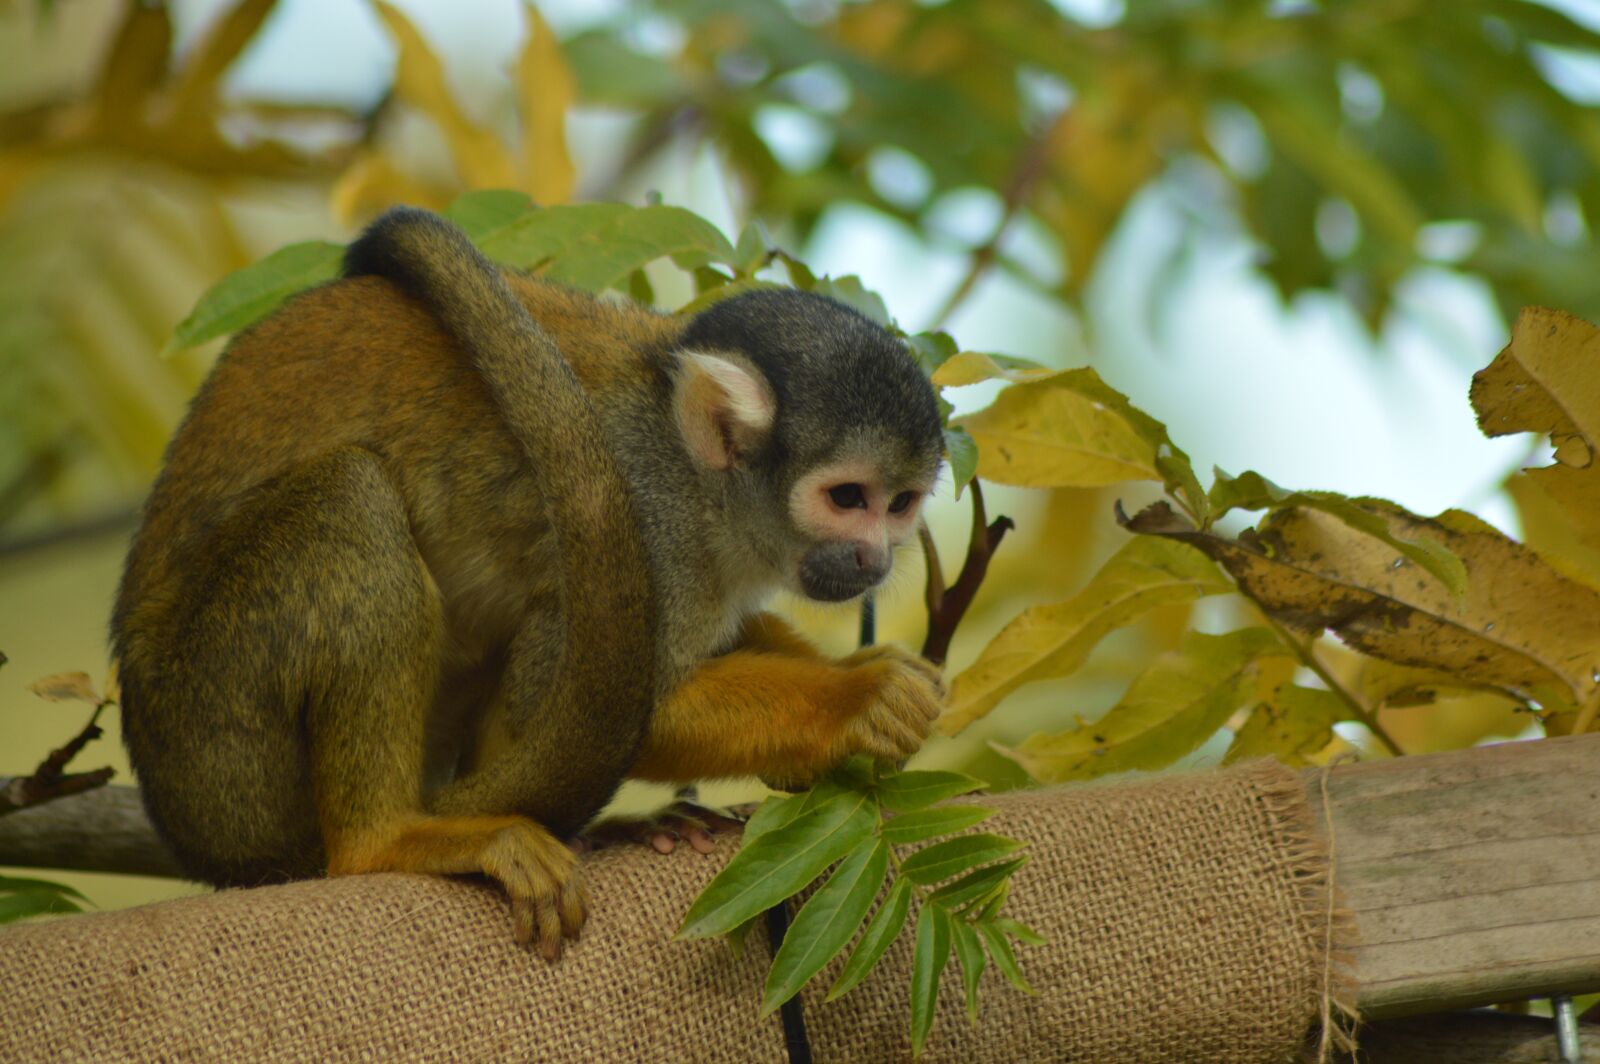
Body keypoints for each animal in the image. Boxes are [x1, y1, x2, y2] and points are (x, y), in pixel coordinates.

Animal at [112, 207, 946, 960]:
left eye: (901, 504)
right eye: (848, 498)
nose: (874, 560)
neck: (698, 477)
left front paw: (872, 671)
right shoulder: (650, 525)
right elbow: (584, 707)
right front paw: (855, 699)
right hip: (218, 741)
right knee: (349, 501)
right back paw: (388, 840)